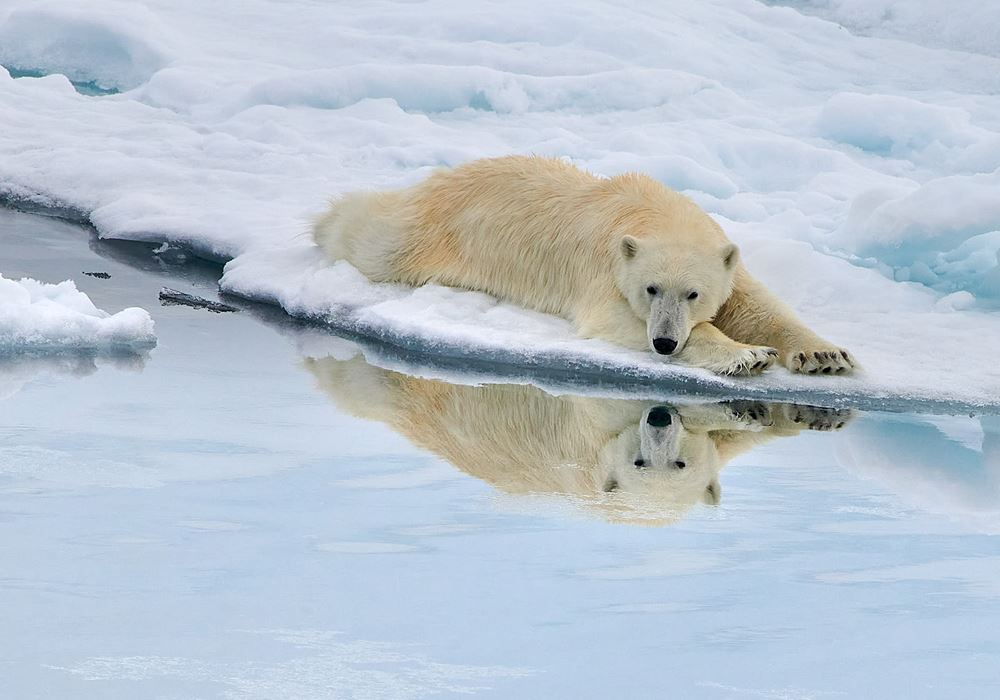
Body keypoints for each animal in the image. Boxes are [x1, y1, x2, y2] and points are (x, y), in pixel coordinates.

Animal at [313, 156, 855, 376]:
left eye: (693, 293)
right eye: (651, 290)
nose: (664, 343)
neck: (655, 211)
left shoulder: (724, 260)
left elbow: (756, 305)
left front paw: (824, 355)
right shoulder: (603, 267)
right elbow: (611, 317)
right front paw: (747, 355)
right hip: (424, 235)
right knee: (371, 237)